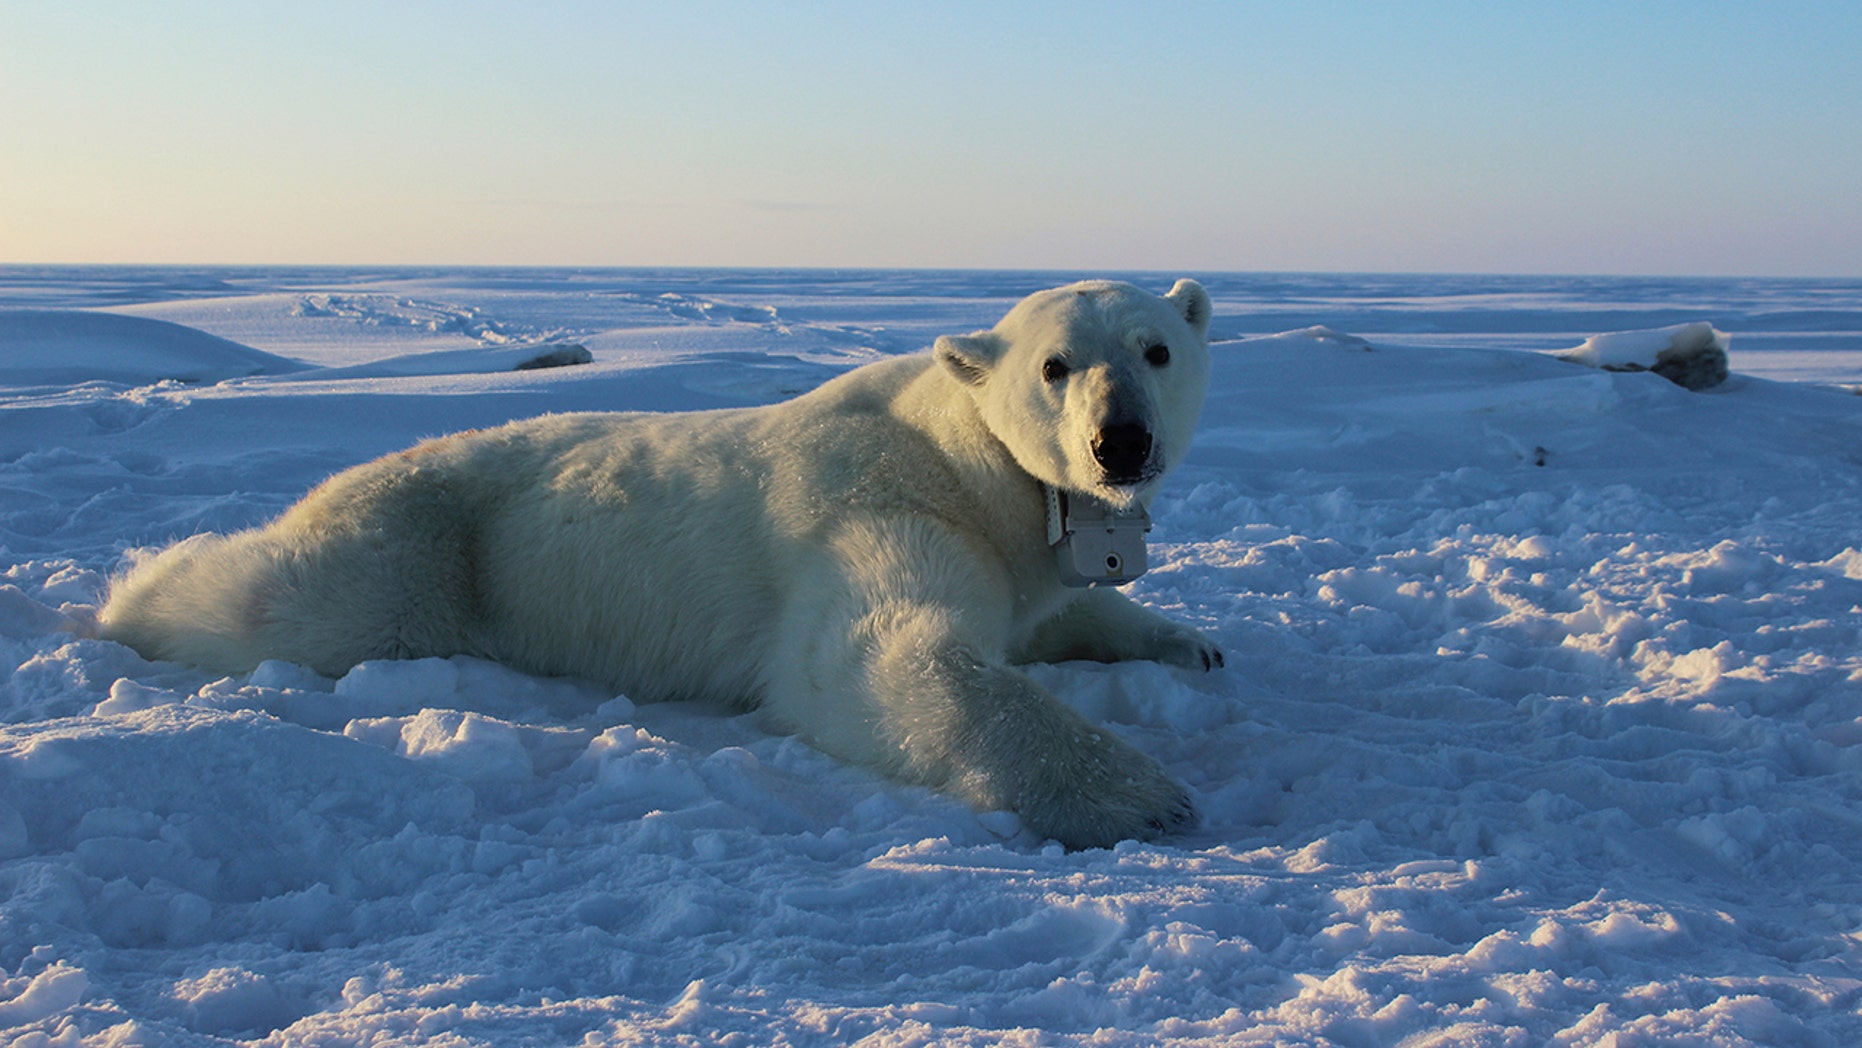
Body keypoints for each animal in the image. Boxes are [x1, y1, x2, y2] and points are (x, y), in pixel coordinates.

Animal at [108, 281, 1228, 852]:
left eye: (1156, 349)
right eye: (1054, 365)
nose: (1120, 443)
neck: (962, 458)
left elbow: (1055, 611)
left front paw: (1191, 643)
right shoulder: (878, 508)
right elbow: (878, 657)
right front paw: (1144, 795)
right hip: (420, 550)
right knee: (284, 600)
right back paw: (129, 592)